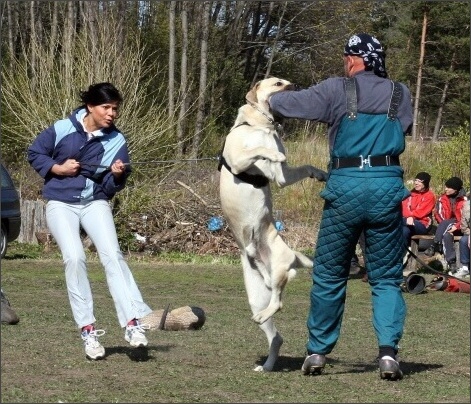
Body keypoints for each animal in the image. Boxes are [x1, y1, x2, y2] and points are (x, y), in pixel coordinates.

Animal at [218, 77, 326, 370]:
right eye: (278, 83)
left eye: (290, 83)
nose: (295, 88)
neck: (261, 125)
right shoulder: (239, 159)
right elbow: (260, 150)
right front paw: (272, 154)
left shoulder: (282, 176)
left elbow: (300, 166)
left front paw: (320, 172)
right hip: (257, 297)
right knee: (275, 331)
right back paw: (266, 365)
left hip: (278, 269)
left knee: (278, 304)